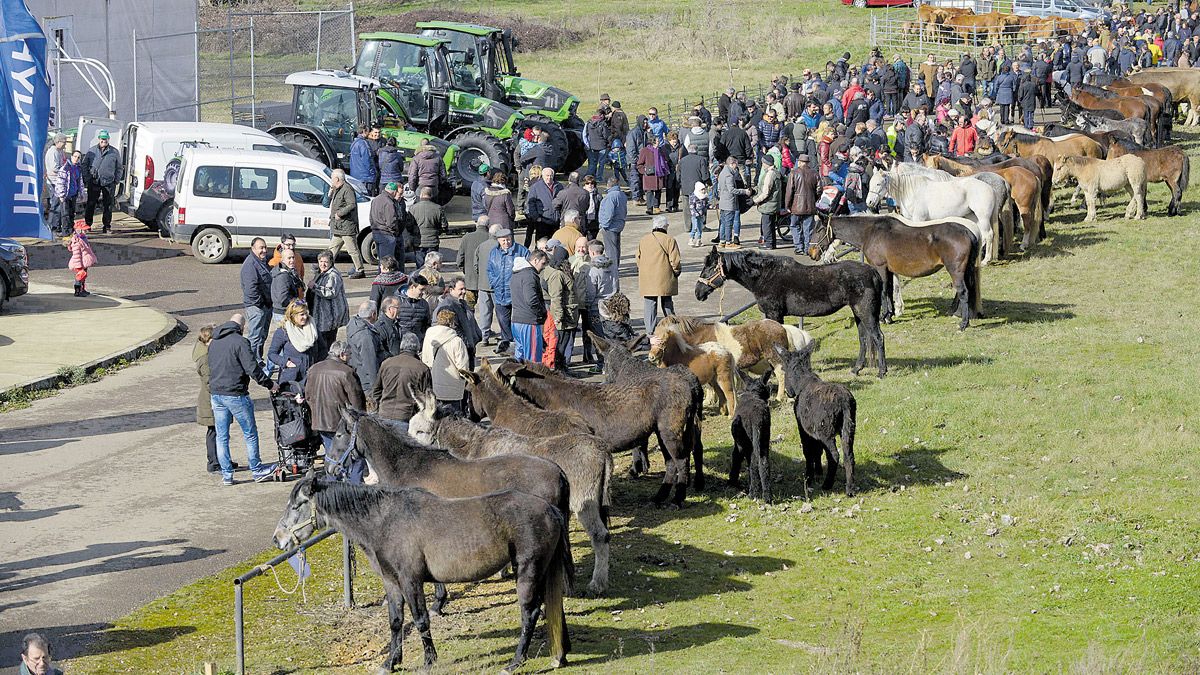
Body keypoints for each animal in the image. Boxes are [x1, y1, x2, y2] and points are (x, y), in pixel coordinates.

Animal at [274, 475, 571, 667]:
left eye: (297, 505)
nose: (278, 539)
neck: (384, 521)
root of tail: (550, 510)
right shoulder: (392, 583)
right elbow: (396, 622)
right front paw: (391, 662)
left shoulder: (411, 581)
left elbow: (420, 620)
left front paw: (429, 660)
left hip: (528, 572)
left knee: (529, 613)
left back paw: (516, 661)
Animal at [696, 246, 883, 374]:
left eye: (709, 269)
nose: (698, 293)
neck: (764, 276)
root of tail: (873, 272)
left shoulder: (774, 314)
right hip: (858, 313)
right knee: (864, 338)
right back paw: (857, 369)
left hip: (865, 312)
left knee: (877, 337)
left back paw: (882, 372)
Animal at [806, 213, 984, 329]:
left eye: (818, 230)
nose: (811, 253)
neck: (870, 232)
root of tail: (968, 231)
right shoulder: (889, 270)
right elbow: (890, 290)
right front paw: (890, 315)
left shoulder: (880, 267)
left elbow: (884, 291)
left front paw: (883, 317)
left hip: (956, 270)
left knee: (963, 292)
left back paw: (963, 323)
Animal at [873, 164, 1003, 264]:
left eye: (878, 184)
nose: (870, 202)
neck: (913, 190)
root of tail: (990, 187)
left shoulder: (919, 219)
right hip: (974, 217)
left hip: (983, 217)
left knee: (989, 234)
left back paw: (985, 260)